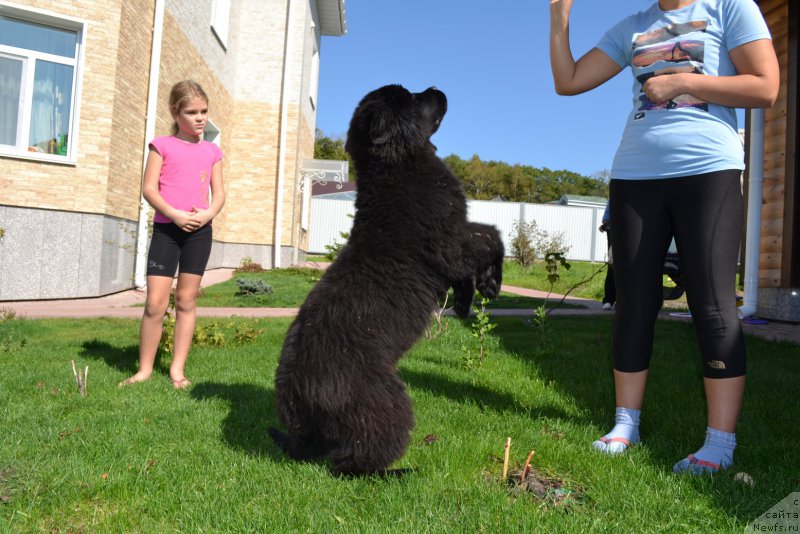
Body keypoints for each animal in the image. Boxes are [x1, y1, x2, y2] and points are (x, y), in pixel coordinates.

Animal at [268, 84, 506, 478]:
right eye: (411, 97)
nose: (437, 88)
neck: (398, 168)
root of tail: (302, 395)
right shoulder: (448, 244)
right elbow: (490, 236)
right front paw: (490, 283)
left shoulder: (453, 246)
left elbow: (481, 243)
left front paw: (464, 302)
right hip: (386, 405)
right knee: (350, 463)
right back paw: (399, 472)